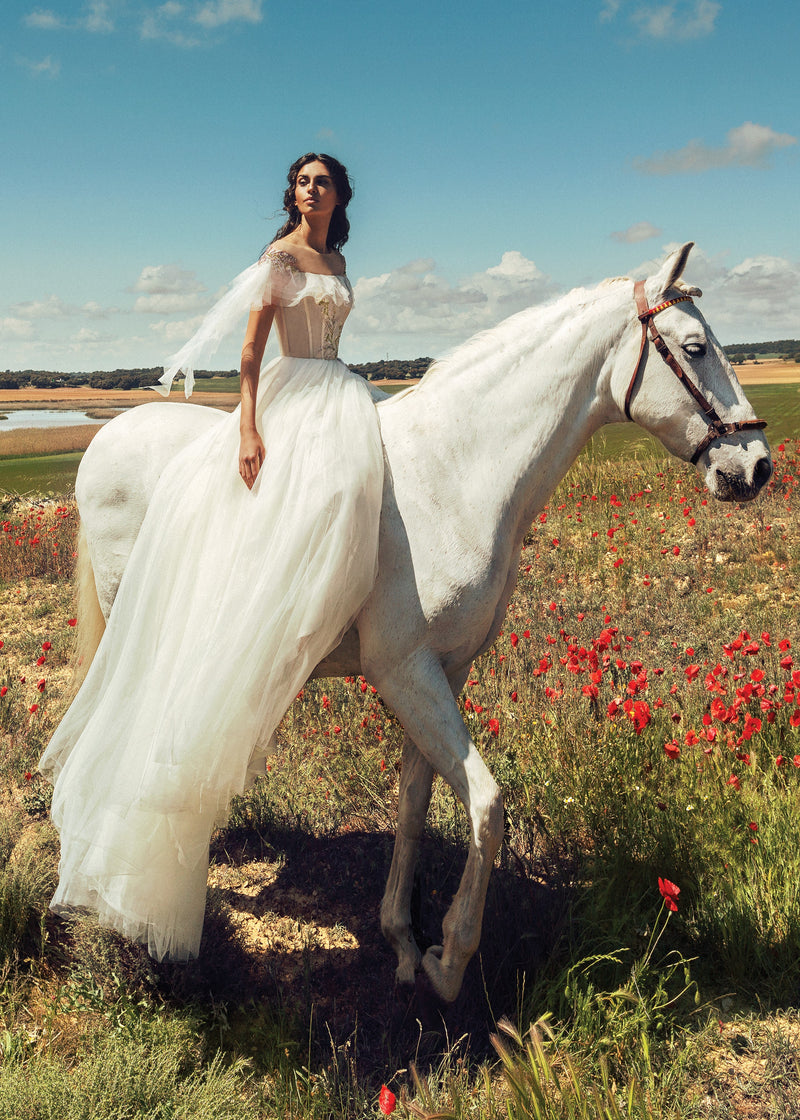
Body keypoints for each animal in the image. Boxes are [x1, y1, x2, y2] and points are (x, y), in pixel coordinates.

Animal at [71, 245, 770, 999]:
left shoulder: (444, 672)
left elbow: (414, 805)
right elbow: (488, 807)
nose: (757, 466)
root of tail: (105, 440)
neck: (454, 474)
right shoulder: (404, 672)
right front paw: (451, 959)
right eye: (694, 347)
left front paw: (404, 942)